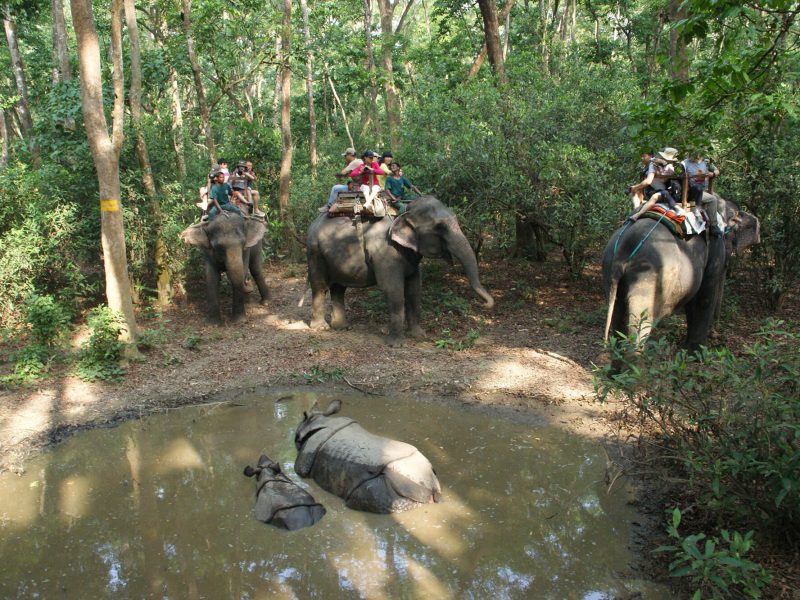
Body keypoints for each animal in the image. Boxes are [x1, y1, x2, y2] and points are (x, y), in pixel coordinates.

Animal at [296, 400, 444, 512]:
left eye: (297, 436)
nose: (296, 439)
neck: (320, 421)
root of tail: (431, 489)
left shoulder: (306, 457)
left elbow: (301, 469)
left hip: (391, 485)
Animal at [306, 195, 494, 344]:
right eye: (440, 227)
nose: (485, 304)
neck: (403, 212)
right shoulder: (384, 251)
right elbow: (393, 289)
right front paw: (396, 344)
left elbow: (414, 288)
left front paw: (419, 336)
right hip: (315, 252)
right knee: (320, 286)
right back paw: (321, 328)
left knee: (339, 288)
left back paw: (342, 327)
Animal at [604, 192, 760, 352]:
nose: (715, 333)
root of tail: (622, 249)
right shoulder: (715, 248)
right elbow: (704, 297)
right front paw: (697, 353)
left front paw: (688, 349)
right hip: (649, 275)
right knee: (642, 319)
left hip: (610, 267)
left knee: (618, 310)